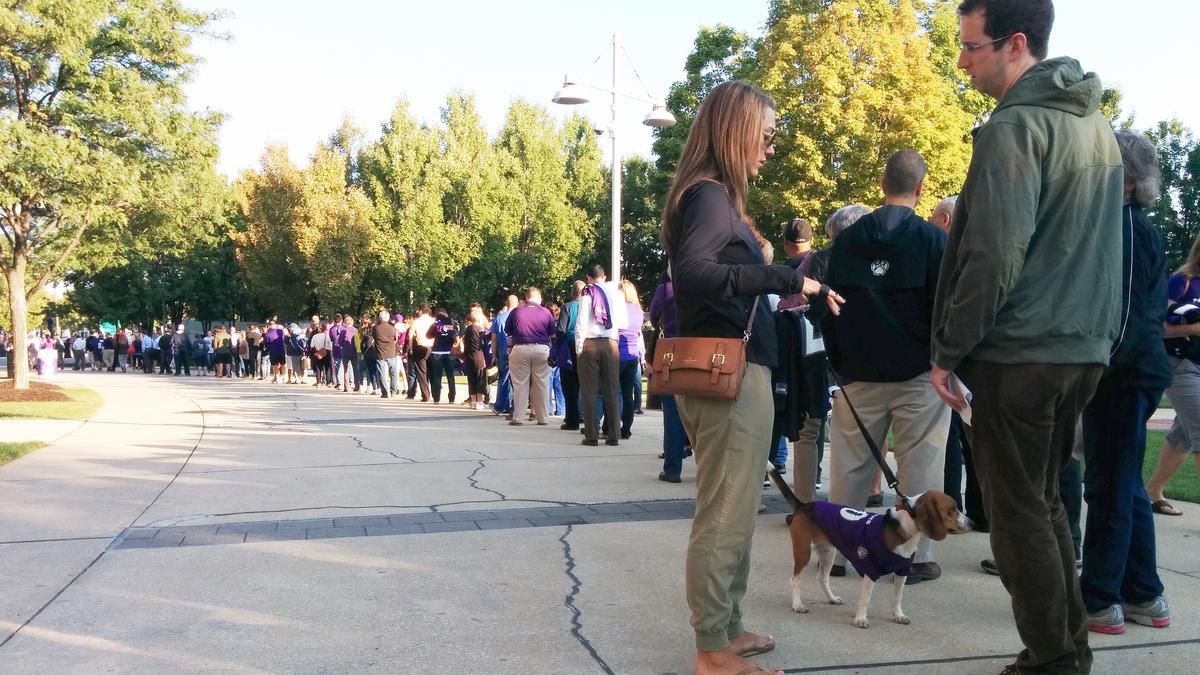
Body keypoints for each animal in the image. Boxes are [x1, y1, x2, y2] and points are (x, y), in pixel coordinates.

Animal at [772, 468, 969, 624]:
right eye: (952, 508)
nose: (972, 523)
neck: (906, 528)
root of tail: (804, 505)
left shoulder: (902, 571)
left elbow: (898, 597)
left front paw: (898, 615)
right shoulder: (870, 569)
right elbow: (865, 598)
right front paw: (860, 619)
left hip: (828, 553)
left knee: (822, 578)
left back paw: (832, 598)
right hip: (803, 551)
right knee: (794, 580)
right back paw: (798, 605)